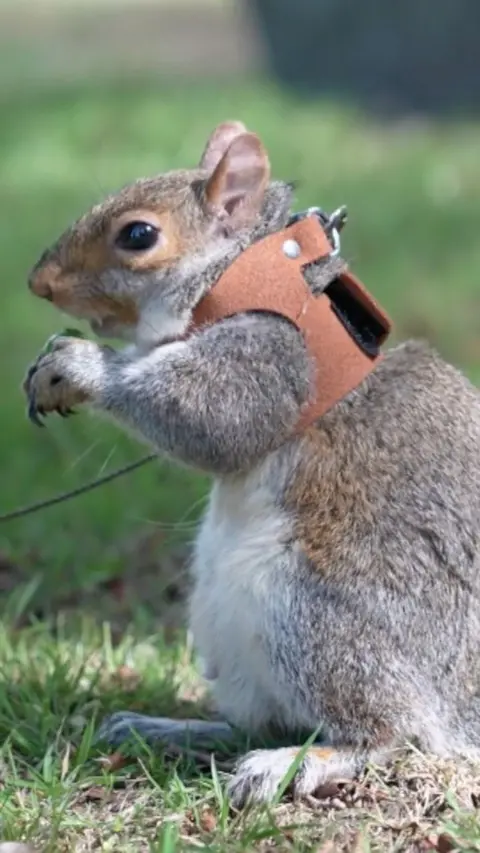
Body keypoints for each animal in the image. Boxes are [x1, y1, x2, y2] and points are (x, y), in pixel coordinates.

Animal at [24, 121, 480, 807]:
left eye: (138, 235)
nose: (39, 282)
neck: (251, 275)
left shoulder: (272, 354)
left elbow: (214, 418)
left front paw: (79, 366)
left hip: (317, 618)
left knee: (386, 734)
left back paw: (300, 762)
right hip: (229, 635)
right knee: (259, 720)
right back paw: (164, 727)